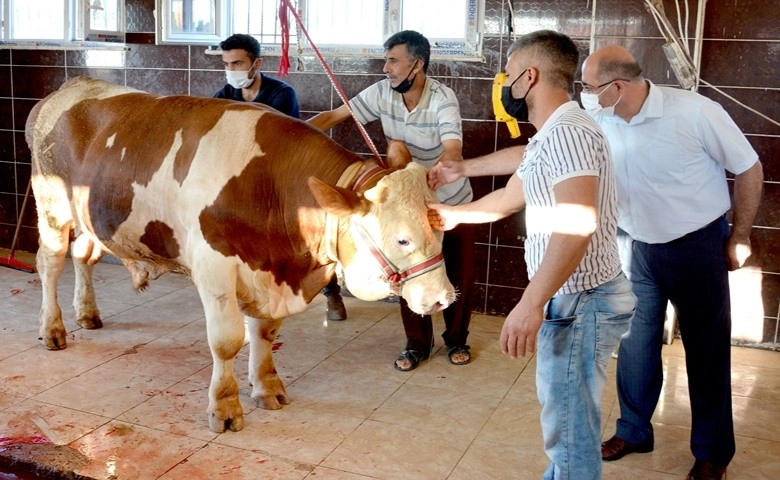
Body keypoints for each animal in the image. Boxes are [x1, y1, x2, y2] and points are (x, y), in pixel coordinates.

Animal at [24, 77, 454, 434]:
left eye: (440, 228)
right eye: (401, 240)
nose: (443, 298)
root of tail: (69, 88)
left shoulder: (269, 271)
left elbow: (264, 333)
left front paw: (267, 389)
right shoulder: (214, 268)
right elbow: (227, 340)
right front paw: (225, 407)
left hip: (89, 215)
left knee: (84, 256)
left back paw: (87, 313)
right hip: (52, 206)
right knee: (51, 264)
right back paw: (53, 329)